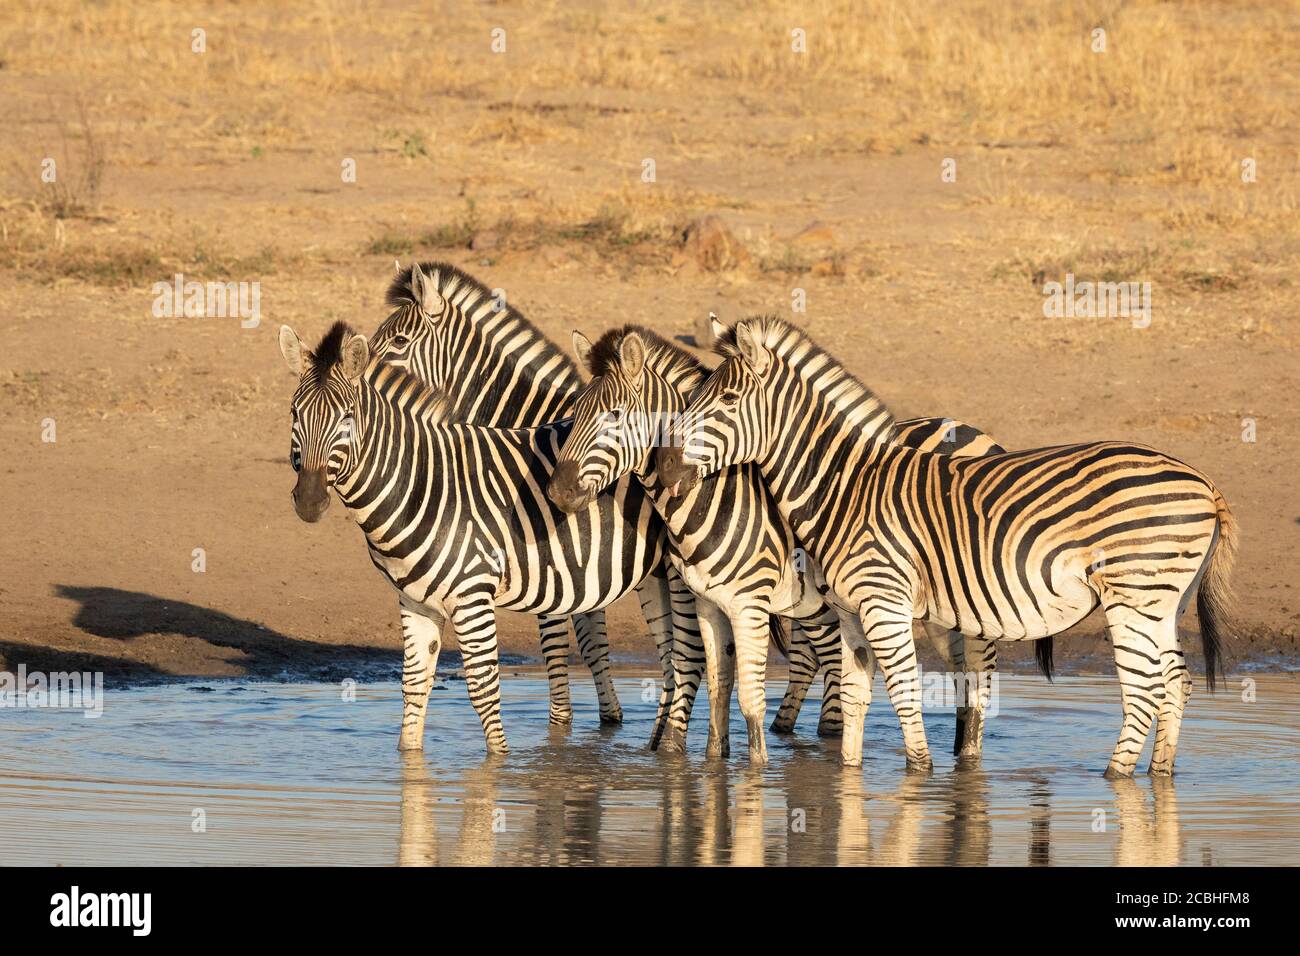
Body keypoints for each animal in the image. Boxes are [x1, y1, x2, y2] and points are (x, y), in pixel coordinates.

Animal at [280, 321, 676, 754]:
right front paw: (409, 760)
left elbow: (484, 690)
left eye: (347, 417)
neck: (419, 483)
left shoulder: (473, 595)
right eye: (294, 413)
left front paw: (498, 762)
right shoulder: (415, 601)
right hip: (653, 575)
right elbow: (414, 685)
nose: (310, 501)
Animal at [366, 264, 722, 754]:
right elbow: (593, 646)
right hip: (658, 574)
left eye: (398, 343)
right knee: (674, 653)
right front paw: (608, 722)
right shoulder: (583, 569)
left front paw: (560, 731)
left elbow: (559, 646)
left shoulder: (559, 561)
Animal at [548, 325, 1034, 764]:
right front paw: (709, 766)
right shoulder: (705, 598)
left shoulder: (742, 601)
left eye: (613, 414)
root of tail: (974, 431)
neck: (715, 496)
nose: (557, 492)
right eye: (575, 412)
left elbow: (718, 680)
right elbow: (719, 685)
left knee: (977, 675)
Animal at [660, 314, 1237, 780]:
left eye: (727, 401)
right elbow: (855, 699)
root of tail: (1204, 481)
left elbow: (904, 693)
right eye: (693, 398)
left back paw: (1115, 778)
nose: (664, 468)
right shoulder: (850, 612)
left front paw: (920, 774)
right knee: (1177, 684)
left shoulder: (885, 604)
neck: (845, 487)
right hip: (1164, 602)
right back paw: (1160, 776)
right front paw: (848, 781)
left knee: (1145, 691)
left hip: (1133, 595)